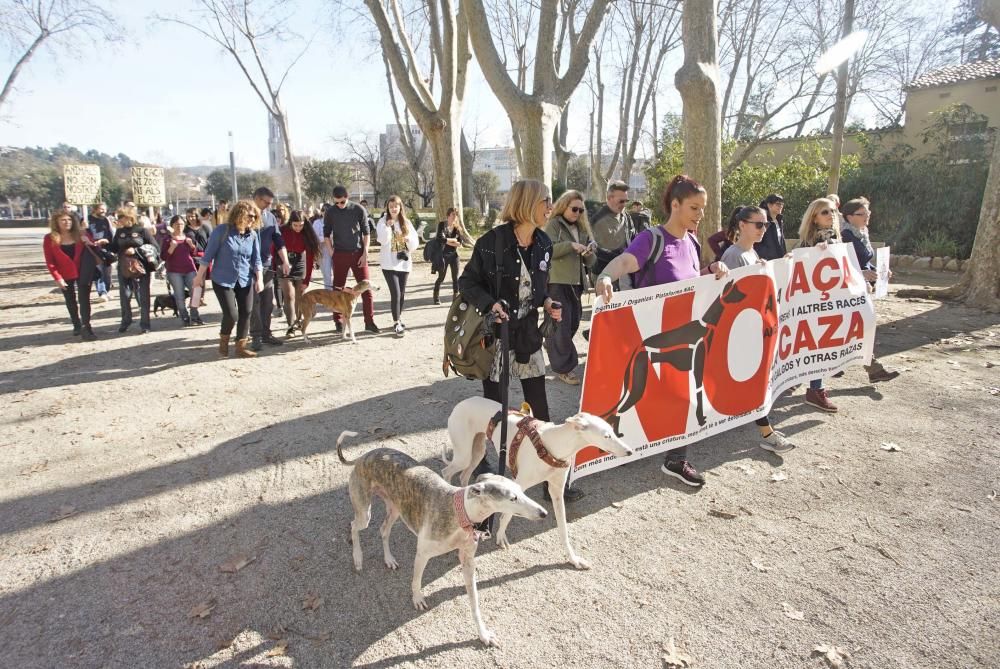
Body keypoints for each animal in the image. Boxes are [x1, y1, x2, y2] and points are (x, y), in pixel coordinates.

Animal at [338, 430, 548, 644]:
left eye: (521, 490)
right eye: (513, 498)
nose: (544, 513)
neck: (461, 513)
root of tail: (364, 455)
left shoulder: (468, 561)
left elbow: (474, 603)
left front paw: (483, 634)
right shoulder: (422, 554)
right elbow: (416, 580)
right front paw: (417, 599)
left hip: (395, 508)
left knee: (383, 530)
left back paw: (389, 559)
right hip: (364, 511)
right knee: (354, 526)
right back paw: (357, 558)